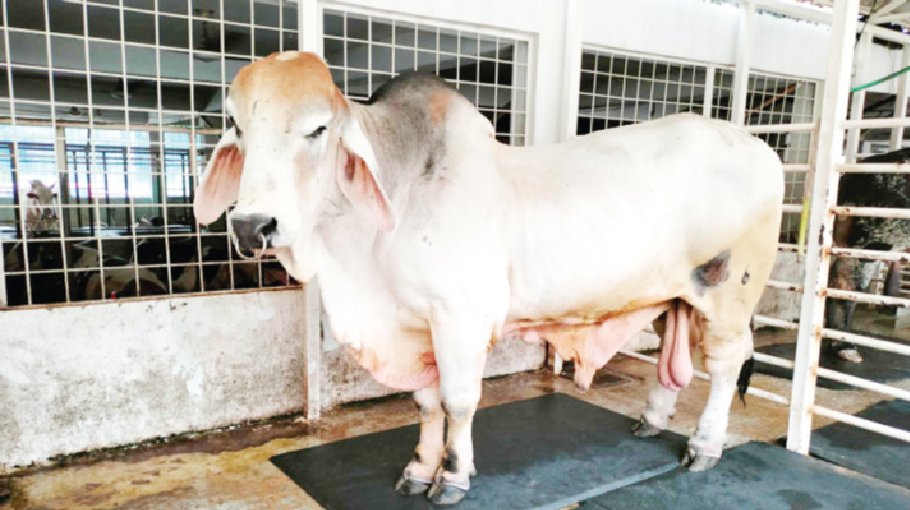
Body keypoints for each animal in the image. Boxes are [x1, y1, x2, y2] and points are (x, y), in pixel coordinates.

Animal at [193, 52, 783, 505]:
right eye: (238, 128)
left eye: (317, 128)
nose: (251, 224)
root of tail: (761, 148)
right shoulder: (414, 325)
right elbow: (425, 403)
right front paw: (418, 469)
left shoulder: (459, 320)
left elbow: (458, 401)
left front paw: (452, 477)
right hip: (676, 294)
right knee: (670, 356)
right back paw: (653, 419)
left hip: (728, 293)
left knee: (725, 367)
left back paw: (704, 447)